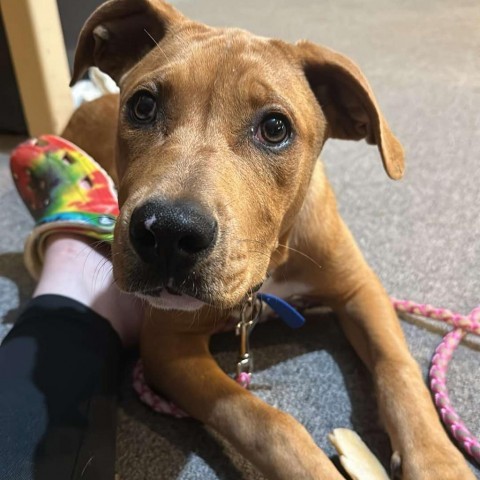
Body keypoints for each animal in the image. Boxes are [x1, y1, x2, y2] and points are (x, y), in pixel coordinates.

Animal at [62, 0, 472, 478]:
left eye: (275, 128)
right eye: (143, 105)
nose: (167, 232)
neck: (272, 262)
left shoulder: (360, 288)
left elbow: (398, 366)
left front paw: (438, 461)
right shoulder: (167, 344)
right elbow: (262, 419)